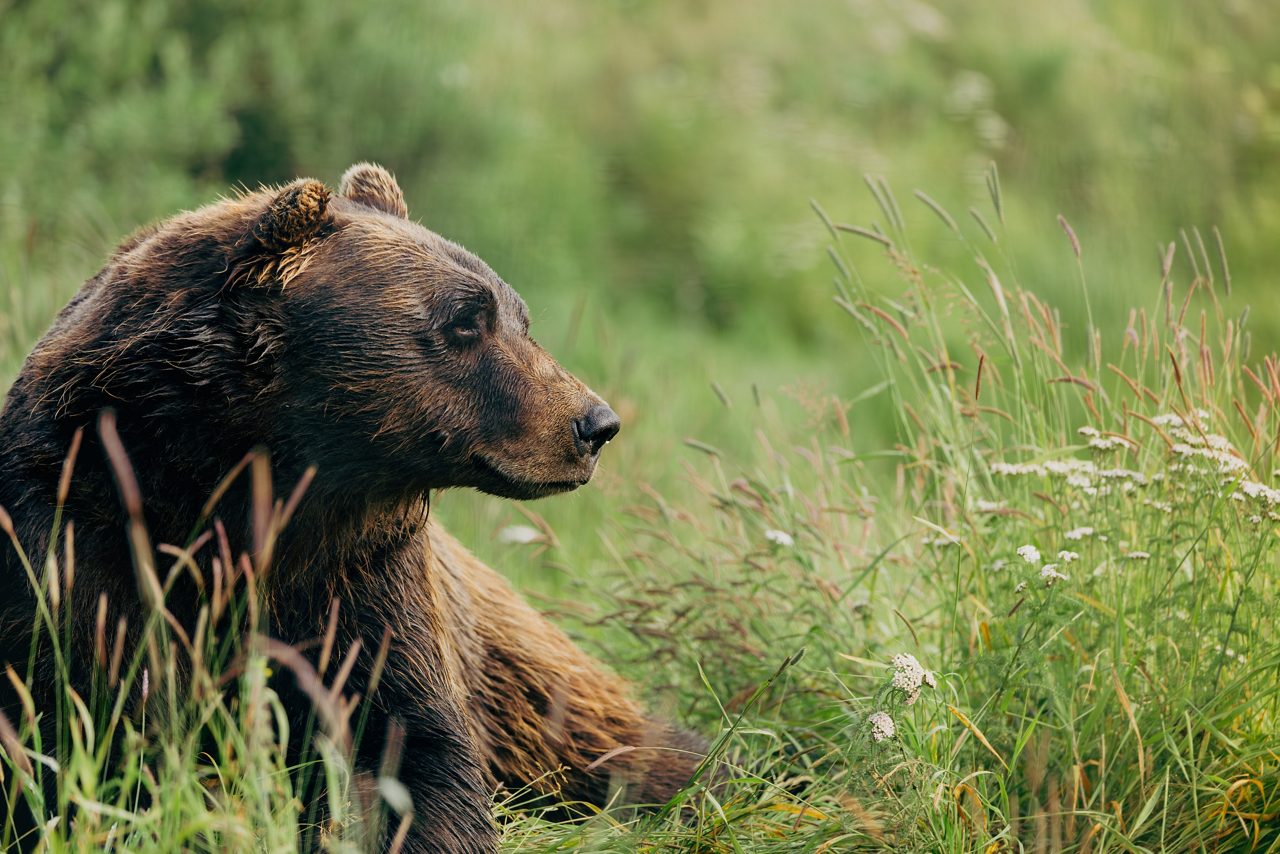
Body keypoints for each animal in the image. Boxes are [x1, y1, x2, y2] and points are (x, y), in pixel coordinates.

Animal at [0, 164, 707, 851]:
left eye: (518, 318)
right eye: (464, 322)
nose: (594, 424)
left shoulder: (364, 572)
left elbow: (412, 741)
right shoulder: (81, 534)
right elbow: (90, 721)